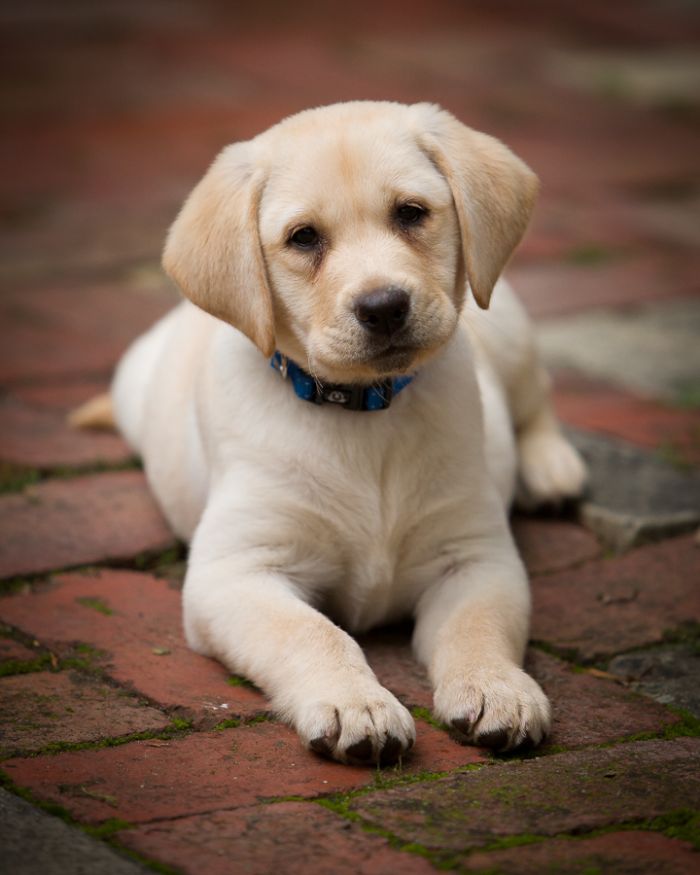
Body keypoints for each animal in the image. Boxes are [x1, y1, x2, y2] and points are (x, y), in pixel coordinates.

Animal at [109, 102, 588, 764]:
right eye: (303, 238)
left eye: (411, 212)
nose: (384, 306)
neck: (364, 410)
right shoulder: (235, 572)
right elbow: (312, 631)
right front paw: (354, 704)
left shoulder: (476, 556)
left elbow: (479, 628)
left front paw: (497, 689)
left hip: (508, 323)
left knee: (535, 394)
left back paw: (550, 468)